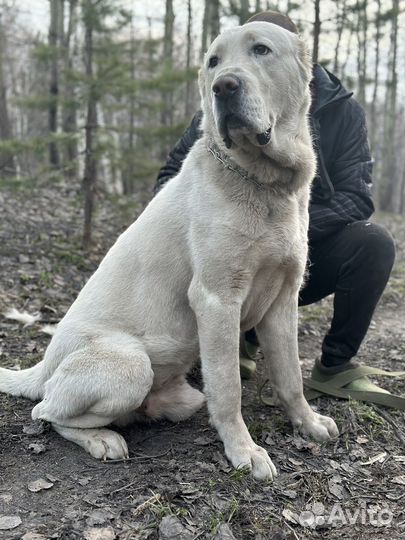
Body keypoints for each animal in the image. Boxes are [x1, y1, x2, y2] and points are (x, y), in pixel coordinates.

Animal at [0, 23, 338, 484]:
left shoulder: (283, 302)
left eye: (261, 50)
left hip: (178, 388)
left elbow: (291, 377)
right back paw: (102, 439)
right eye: (213, 61)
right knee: (46, 411)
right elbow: (229, 388)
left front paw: (307, 422)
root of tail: (45, 363)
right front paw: (243, 450)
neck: (263, 182)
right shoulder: (216, 300)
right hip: (130, 364)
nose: (223, 86)